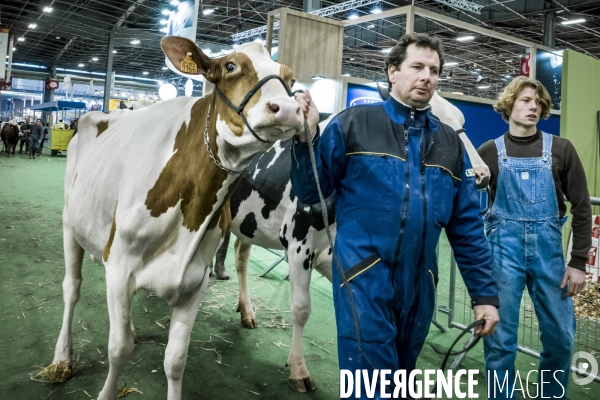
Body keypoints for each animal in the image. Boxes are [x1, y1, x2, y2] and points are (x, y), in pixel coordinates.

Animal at [43, 35, 304, 400]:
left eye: (290, 79)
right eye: (231, 66)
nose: (290, 109)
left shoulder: (195, 279)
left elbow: (176, 359)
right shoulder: (119, 265)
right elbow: (117, 350)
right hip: (70, 225)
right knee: (72, 289)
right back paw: (61, 359)